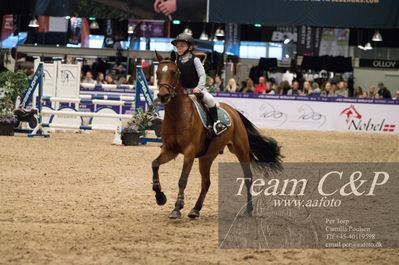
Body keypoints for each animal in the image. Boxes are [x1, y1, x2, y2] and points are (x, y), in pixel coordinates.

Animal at [152, 50, 282, 218]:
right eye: (157, 72)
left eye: (174, 72)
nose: (163, 96)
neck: (178, 115)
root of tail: (234, 112)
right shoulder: (170, 150)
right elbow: (155, 165)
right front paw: (160, 197)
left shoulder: (189, 152)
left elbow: (182, 179)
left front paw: (177, 208)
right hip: (207, 157)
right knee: (206, 182)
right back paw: (195, 209)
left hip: (241, 151)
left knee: (248, 178)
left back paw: (249, 209)